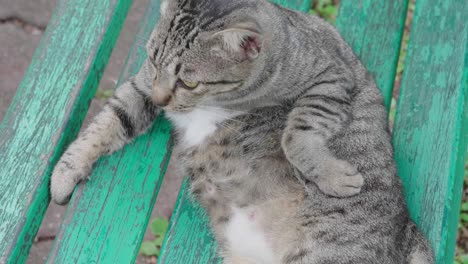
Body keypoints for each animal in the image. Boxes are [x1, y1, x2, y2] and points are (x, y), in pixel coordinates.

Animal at [49, 0, 434, 262]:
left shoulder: (331, 75)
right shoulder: (143, 86)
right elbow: (107, 122)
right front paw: (64, 173)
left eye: (189, 81)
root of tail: (409, 233)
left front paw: (330, 174)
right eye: (154, 61)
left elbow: (297, 132)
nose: (162, 100)